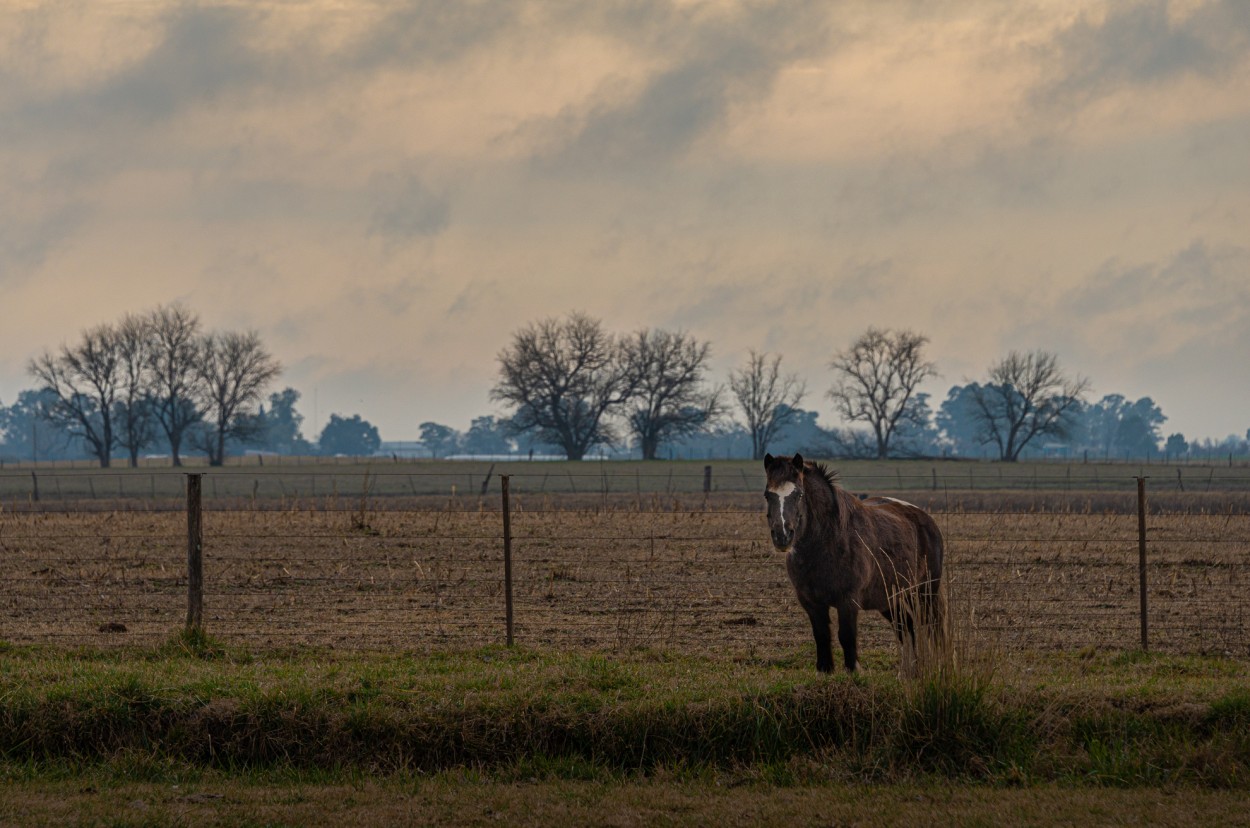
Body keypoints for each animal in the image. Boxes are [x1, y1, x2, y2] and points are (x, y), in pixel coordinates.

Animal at [760, 455, 945, 675]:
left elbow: (846, 635)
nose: (782, 536)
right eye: (767, 495)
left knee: (933, 627)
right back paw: (908, 673)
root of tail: (925, 518)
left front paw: (853, 670)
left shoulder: (848, 600)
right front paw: (825, 670)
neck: (828, 541)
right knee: (906, 628)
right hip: (892, 599)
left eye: (799, 494)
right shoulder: (811, 602)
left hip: (925, 592)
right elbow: (821, 635)